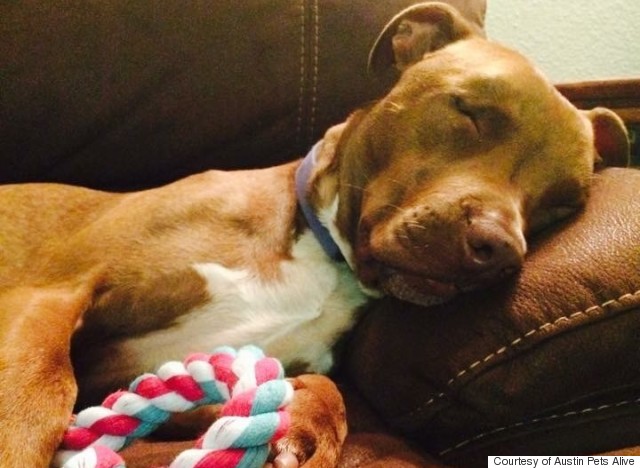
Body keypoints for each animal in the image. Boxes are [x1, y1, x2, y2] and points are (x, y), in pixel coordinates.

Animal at [0, 3, 632, 468]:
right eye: (469, 111)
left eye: (562, 203)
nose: (500, 250)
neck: (324, 256)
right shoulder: (50, 300)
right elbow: (38, 393)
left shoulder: (145, 375)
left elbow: (316, 388)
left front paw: (307, 426)